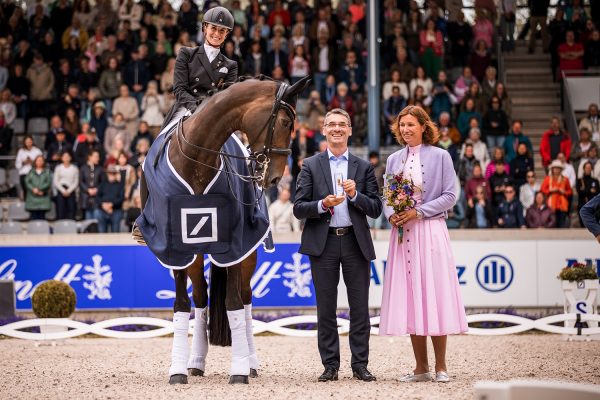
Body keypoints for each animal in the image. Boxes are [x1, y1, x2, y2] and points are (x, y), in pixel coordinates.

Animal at [140, 76, 310, 384]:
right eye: (284, 123)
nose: (275, 177)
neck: (195, 158)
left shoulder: (234, 246)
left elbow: (233, 303)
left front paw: (240, 370)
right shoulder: (175, 249)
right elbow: (181, 305)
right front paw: (177, 371)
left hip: (248, 254)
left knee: (245, 298)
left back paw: (251, 363)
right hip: (195, 255)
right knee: (200, 298)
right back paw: (195, 363)